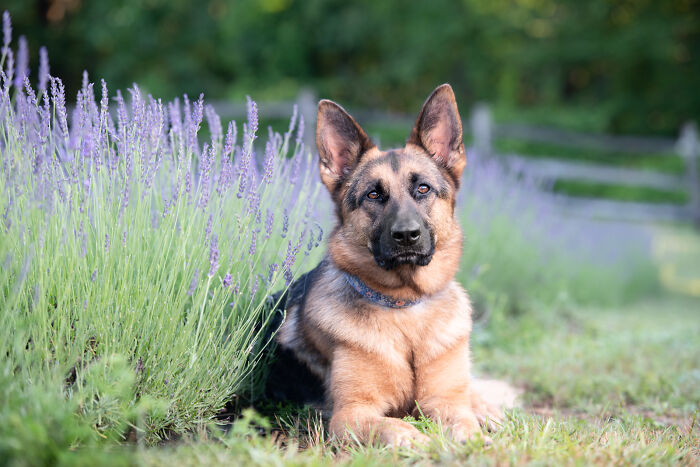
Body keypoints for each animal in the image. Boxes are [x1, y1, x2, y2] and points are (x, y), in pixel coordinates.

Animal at [266, 86, 512, 448]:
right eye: (373, 195)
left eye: (422, 188)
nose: (407, 235)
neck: (405, 308)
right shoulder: (351, 415)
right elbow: (396, 428)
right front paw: (421, 442)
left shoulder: (445, 402)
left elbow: (464, 422)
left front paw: (473, 436)